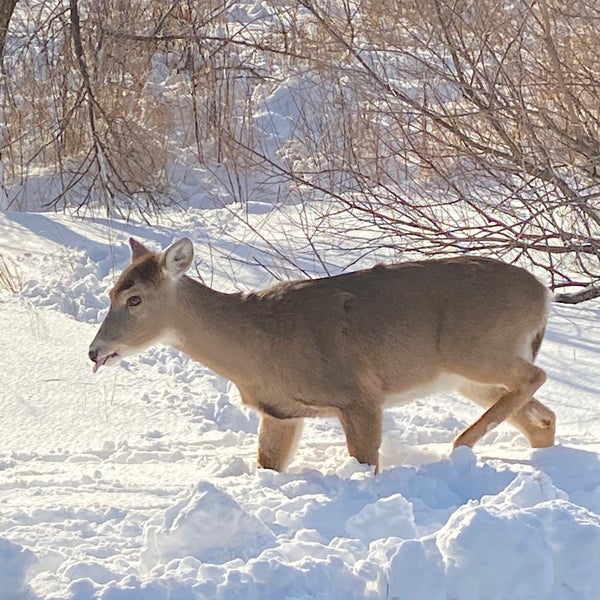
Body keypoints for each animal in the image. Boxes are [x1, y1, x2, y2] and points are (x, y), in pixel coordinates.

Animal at [89, 237, 556, 472]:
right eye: (110, 292)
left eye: (134, 298)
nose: (95, 351)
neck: (255, 343)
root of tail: (543, 294)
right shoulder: (280, 412)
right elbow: (268, 466)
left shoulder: (359, 395)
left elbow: (366, 462)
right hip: (468, 376)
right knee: (541, 415)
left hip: (475, 349)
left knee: (537, 378)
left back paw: (459, 445)